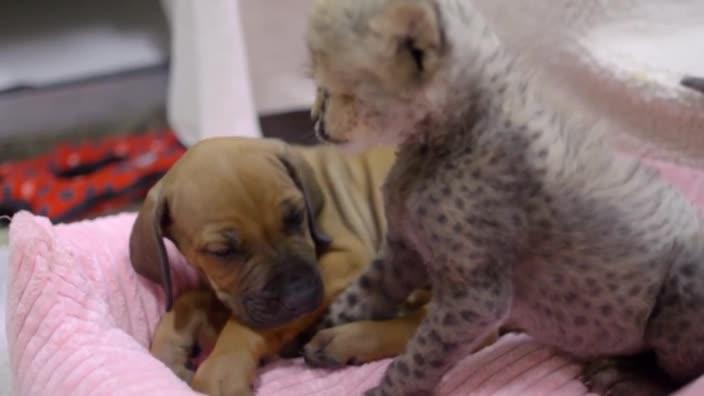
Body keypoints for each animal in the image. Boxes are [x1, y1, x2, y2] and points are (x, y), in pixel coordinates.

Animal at [129, 137, 426, 396]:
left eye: (296, 216)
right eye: (222, 252)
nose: (300, 295)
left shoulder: (348, 259)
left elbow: (254, 326)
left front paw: (224, 366)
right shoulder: (236, 295)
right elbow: (189, 298)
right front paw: (169, 351)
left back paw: (342, 341)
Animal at [308, 0, 704, 396]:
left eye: (334, 89)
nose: (315, 121)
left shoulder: (478, 298)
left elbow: (423, 351)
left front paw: (388, 388)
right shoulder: (404, 250)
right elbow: (367, 290)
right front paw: (325, 326)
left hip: (685, 285)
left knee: (682, 372)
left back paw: (629, 375)